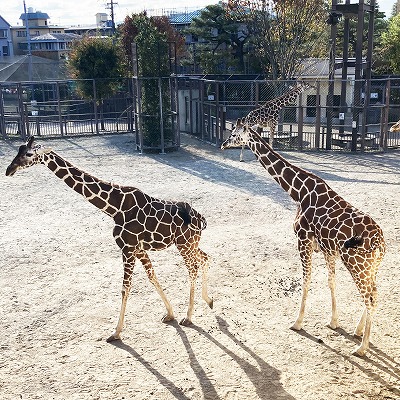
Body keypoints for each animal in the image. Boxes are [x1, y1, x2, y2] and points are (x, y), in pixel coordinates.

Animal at [5, 137, 212, 340]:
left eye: (29, 154)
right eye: (18, 150)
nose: (9, 170)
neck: (114, 208)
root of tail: (201, 218)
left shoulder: (128, 249)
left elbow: (125, 287)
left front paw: (116, 332)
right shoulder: (138, 249)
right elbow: (152, 276)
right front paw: (169, 313)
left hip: (184, 244)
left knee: (193, 268)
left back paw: (189, 316)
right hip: (191, 243)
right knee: (205, 257)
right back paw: (208, 300)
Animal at [220, 119, 386, 356]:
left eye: (234, 134)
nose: (223, 144)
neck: (298, 192)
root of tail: (381, 242)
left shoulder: (303, 240)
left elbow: (306, 280)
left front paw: (297, 322)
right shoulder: (327, 250)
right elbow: (330, 281)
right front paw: (333, 322)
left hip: (357, 264)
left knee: (370, 298)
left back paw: (362, 347)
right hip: (372, 266)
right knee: (374, 293)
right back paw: (358, 331)